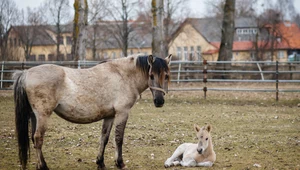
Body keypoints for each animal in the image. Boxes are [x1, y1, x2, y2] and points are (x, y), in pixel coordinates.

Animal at [12, 54, 172, 170]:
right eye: (151, 75)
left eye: (167, 75)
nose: (159, 101)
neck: (122, 75)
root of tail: (26, 73)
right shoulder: (122, 113)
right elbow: (118, 138)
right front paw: (119, 163)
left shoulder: (109, 116)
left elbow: (104, 138)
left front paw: (100, 162)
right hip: (43, 115)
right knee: (38, 138)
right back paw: (44, 166)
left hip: (34, 116)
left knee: (34, 139)